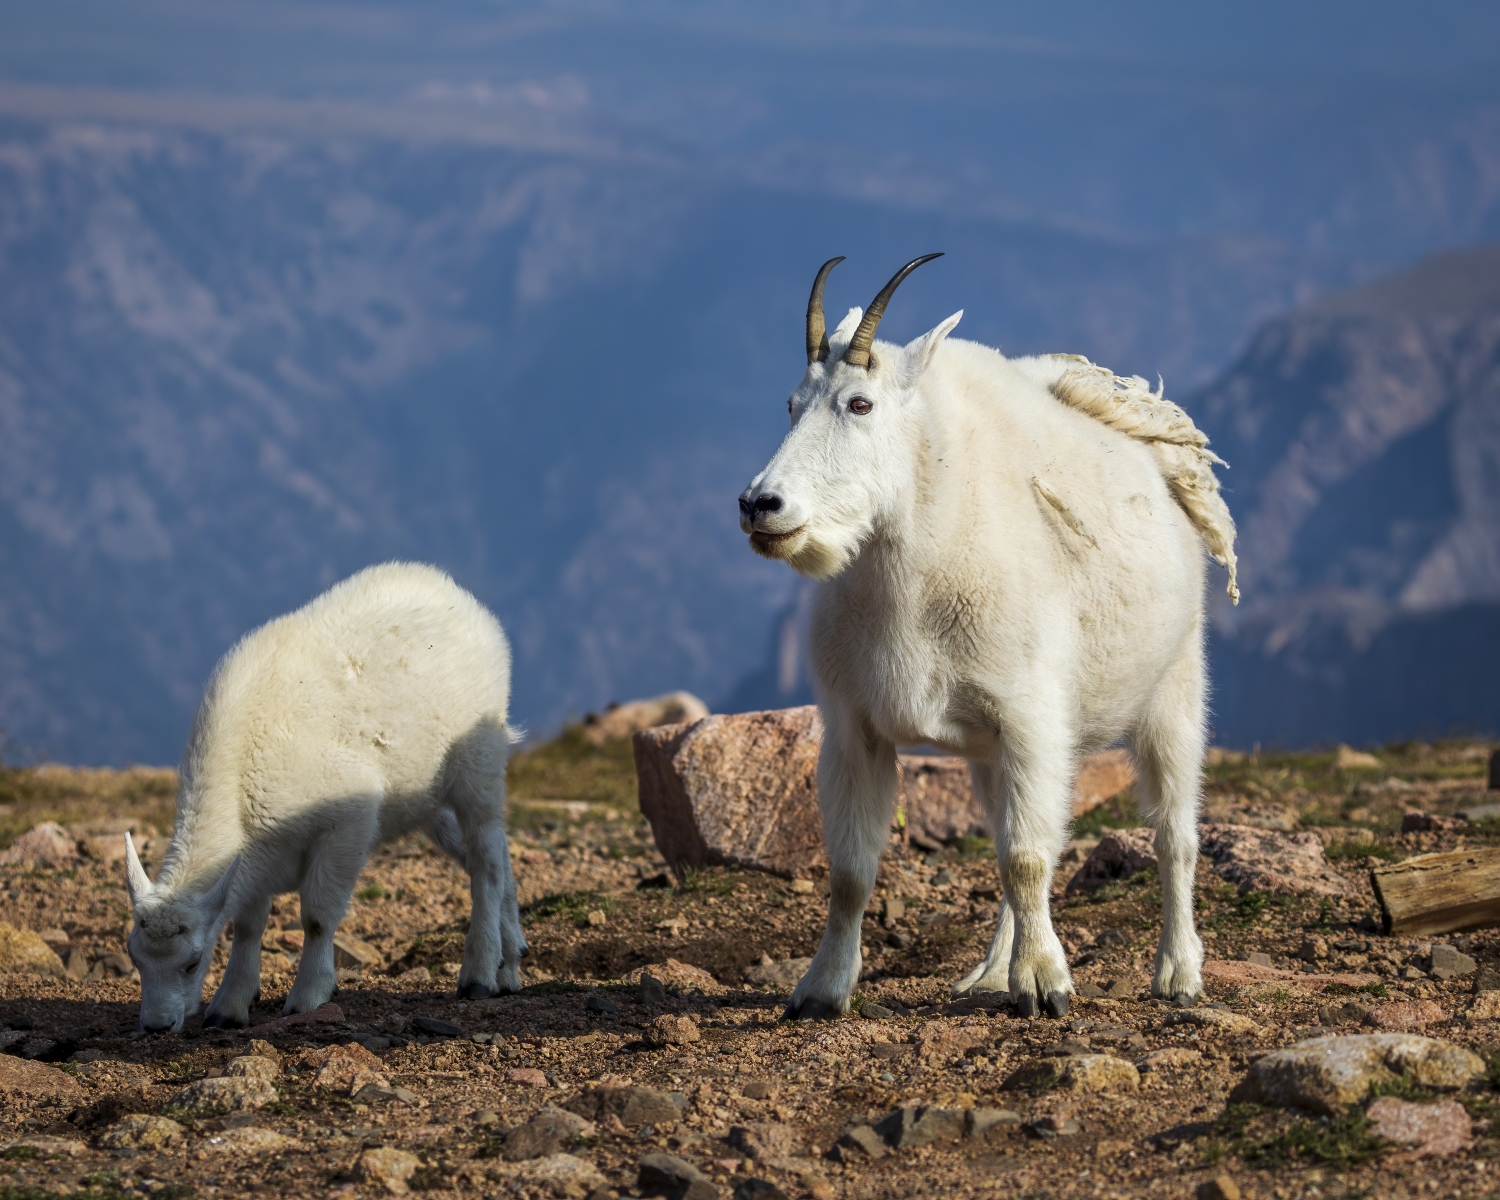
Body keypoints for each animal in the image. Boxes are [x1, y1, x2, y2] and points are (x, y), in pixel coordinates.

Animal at [124, 562, 524, 1032]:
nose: (156, 1025)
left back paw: (480, 973)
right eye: (135, 959)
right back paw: (511, 963)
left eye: (192, 962)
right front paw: (229, 1005)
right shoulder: (257, 852)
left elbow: (316, 917)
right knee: (493, 853)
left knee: (486, 858)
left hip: (479, 764)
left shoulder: (347, 819)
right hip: (427, 802)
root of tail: (465, 601)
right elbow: (248, 926)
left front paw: (309, 996)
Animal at [738, 255, 1237, 1018]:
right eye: (791, 405)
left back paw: (1178, 975)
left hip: (1176, 686)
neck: (911, 576)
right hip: (983, 749)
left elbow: (1028, 856)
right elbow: (853, 870)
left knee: (1173, 835)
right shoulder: (855, 727)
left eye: (860, 404)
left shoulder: (1032, 720)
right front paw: (821, 990)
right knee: (1006, 836)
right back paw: (994, 972)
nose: (761, 506)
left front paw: (1050, 985)